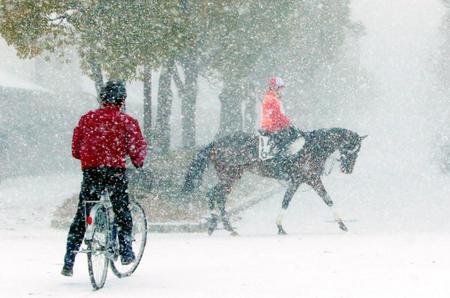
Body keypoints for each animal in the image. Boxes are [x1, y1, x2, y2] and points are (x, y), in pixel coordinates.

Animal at [183, 127, 366, 235]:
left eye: (357, 152)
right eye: (352, 150)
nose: (348, 170)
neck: (313, 147)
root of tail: (215, 143)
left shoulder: (312, 180)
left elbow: (327, 199)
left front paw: (342, 224)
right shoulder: (299, 180)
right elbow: (287, 201)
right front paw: (279, 227)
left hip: (231, 177)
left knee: (218, 196)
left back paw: (222, 226)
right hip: (230, 176)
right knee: (214, 194)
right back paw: (218, 225)